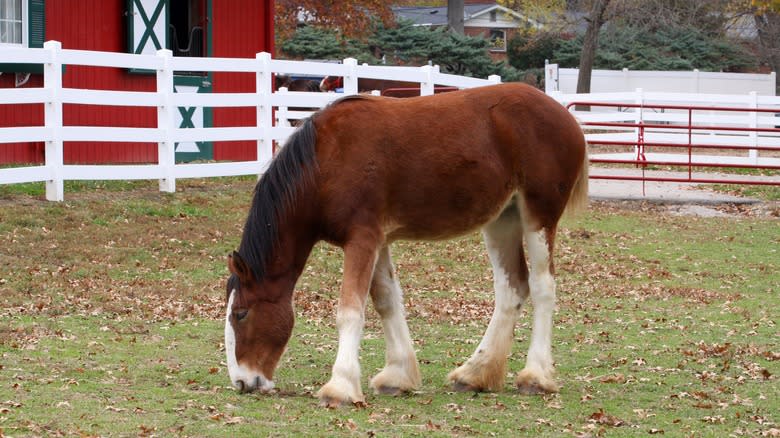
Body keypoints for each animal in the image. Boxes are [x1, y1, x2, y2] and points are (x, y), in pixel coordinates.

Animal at [222, 82, 588, 408]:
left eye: (241, 314)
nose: (242, 382)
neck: (324, 162)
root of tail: (565, 117)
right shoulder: (377, 240)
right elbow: (386, 302)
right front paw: (398, 376)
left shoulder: (362, 239)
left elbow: (350, 311)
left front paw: (340, 387)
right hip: (503, 220)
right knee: (512, 289)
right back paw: (474, 373)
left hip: (538, 216)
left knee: (542, 287)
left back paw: (535, 377)